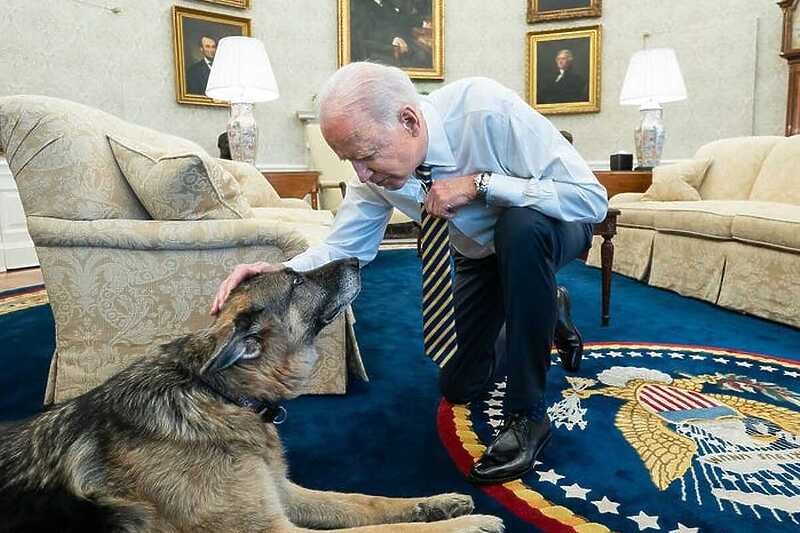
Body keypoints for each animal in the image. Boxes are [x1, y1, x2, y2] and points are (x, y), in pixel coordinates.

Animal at [0, 256, 504, 528]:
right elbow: (384, 532)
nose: (357, 260)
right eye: (296, 281)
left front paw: (437, 504)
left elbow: (366, 502)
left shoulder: (284, 493)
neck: (217, 394)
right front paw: (470, 524)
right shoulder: (274, 528)